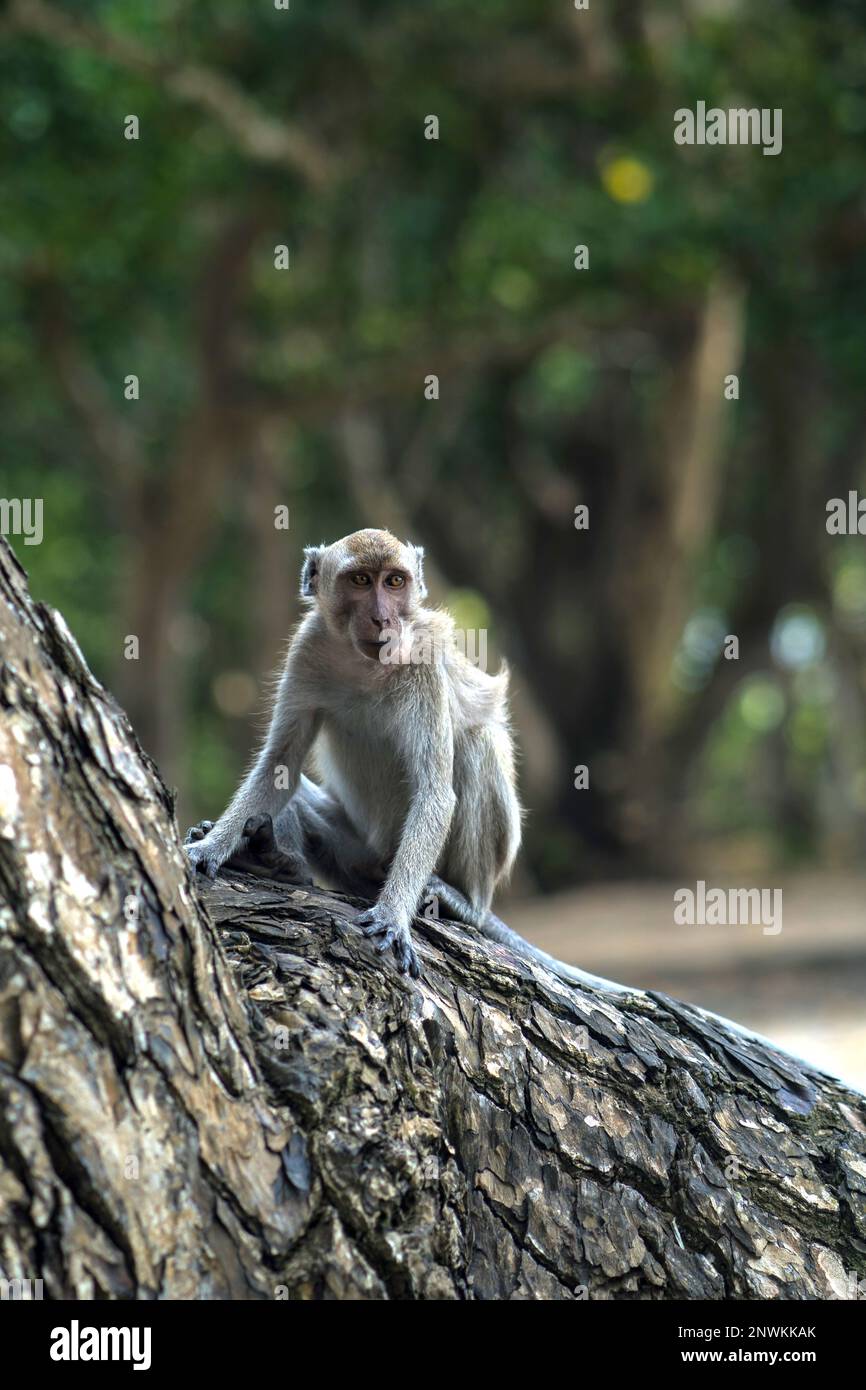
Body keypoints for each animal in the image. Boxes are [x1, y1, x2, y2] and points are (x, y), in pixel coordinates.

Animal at [186, 525, 625, 995]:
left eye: (394, 582)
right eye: (361, 581)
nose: (383, 618)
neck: (364, 664)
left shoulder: (425, 663)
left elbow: (435, 793)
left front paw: (393, 916)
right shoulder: (308, 646)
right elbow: (279, 764)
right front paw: (211, 847)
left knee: (476, 745)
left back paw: (463, 904)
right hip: (358, 853)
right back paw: (276, 860)